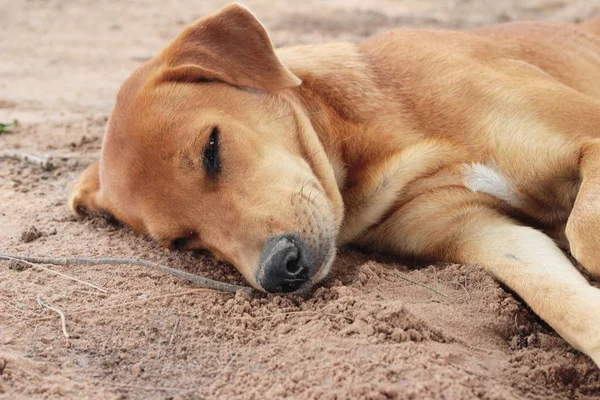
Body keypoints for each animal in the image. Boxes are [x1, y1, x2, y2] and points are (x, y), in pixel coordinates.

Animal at [70, 3, 600, 366]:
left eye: (212, 149)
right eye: (182, 242)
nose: (278, 271)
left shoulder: (589, 138)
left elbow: (583, 234)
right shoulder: (481, 232)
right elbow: (564, 302)